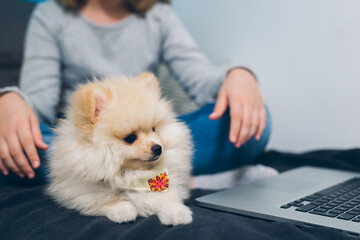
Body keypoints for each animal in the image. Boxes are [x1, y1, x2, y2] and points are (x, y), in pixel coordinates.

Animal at [47, 72, 194, 225]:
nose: (158, 148)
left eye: (154, 129)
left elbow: (168, 198)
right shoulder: (83, 193)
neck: (133, 176)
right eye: (130, 138)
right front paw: (124, 210)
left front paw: (177, 213)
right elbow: (107, 201)